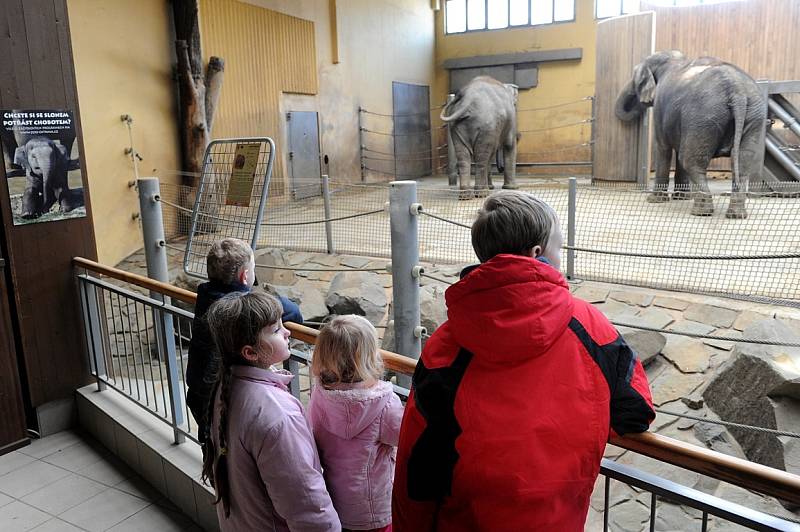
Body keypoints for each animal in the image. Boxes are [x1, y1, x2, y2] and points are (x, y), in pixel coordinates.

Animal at [616, 50, 764, 216]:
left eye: (636, 78)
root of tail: (736, 90)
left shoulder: (660, 107)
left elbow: (664, 149)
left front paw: (655, 200)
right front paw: (681, 198)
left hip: (704, 112)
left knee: (690, 160)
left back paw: (701, 212)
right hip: (752, 114)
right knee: (742, 161)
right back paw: (736, 215)